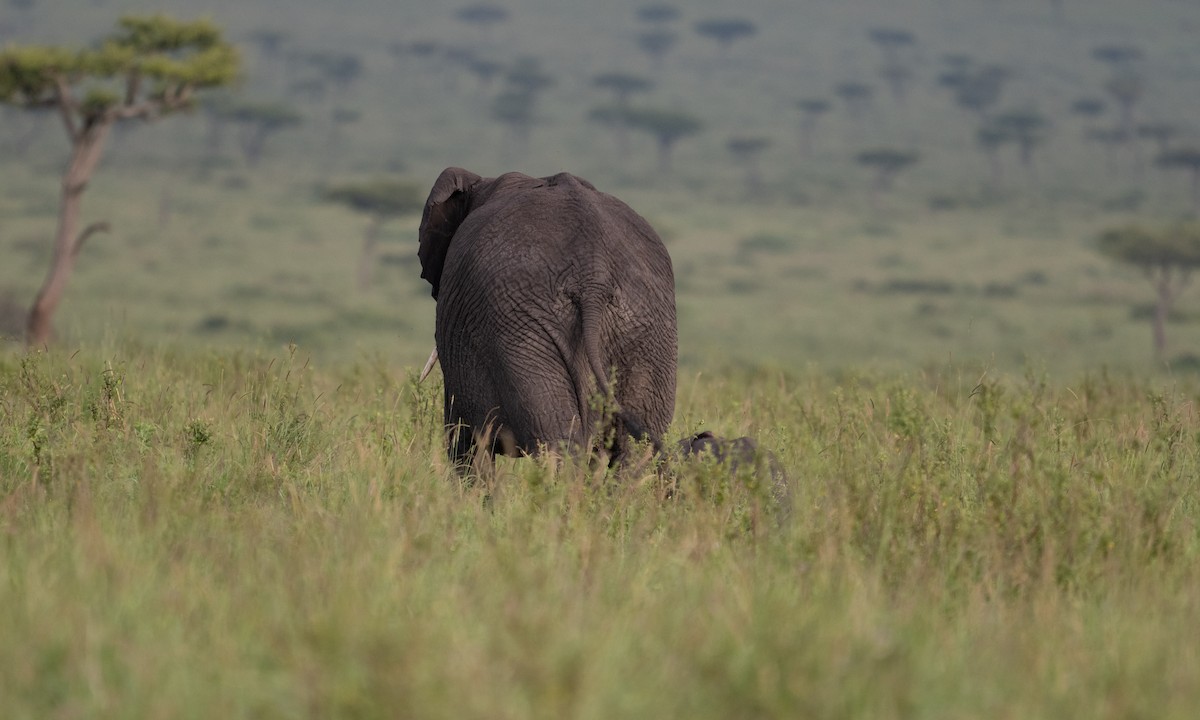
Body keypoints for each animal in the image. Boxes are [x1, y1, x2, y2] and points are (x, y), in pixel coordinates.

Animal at [417, 167, 677, 467]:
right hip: (647, 328)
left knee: (557, 441)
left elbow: (465, 441)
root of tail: (593, 275)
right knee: (634, 451)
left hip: (519, 330)